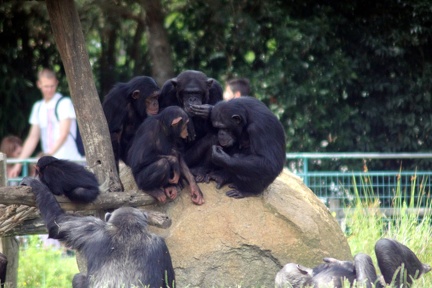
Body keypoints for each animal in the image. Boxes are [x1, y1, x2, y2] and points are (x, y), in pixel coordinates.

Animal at [20, 178, 176, 288]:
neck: (127, 229)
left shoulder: (90, 228)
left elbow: (58, 222)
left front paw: (33, 183)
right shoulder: (91, 228)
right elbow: (58, 222)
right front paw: (34, 183)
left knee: (77, 278)